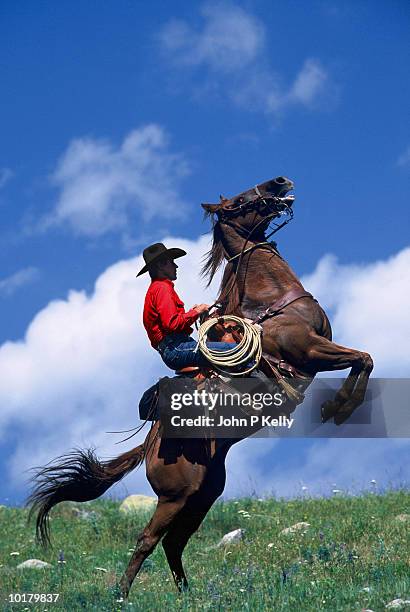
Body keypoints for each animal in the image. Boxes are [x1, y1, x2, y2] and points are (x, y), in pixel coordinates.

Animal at [27, 176, 374, 596]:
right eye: (237, 201)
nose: (279, 182)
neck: (270, 301)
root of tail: (151, 443)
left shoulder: (320, 349)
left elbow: (362, 360)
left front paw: (336, 407)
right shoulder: (308, 350)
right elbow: (363, 358)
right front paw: (338, 408)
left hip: (203, 495)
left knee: (173, 543)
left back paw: (187, 595)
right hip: (175, 497)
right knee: (148, 539)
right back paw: (122, 594)